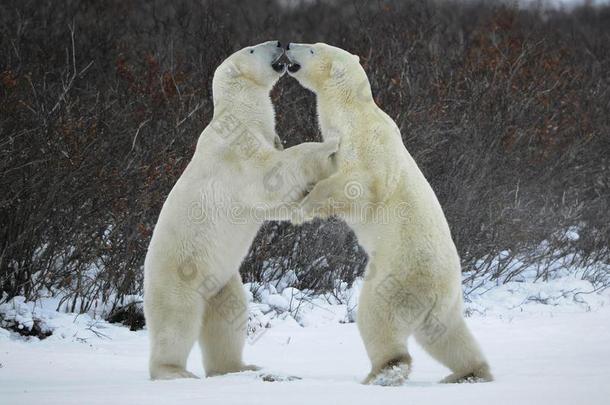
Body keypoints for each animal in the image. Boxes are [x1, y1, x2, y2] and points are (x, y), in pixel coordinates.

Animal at [145, 41, 340, 378]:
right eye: (252, 49)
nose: (281, 43)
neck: (240, 116)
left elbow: (277, 203)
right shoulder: (235, 151)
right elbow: (272, 174)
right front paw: (327, 146)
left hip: (222, 280)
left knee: (227, 318)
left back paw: (238, 367)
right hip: (179, 275)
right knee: (177, 322)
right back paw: (174, 371)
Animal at [284, 42, 490, 384]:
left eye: (312, 49)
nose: (287, 45)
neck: (353, 111)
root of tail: (438, 290)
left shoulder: (366, 144)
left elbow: (358, 185)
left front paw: (302, 208)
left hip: (398, 276)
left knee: (377, 315)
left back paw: (385, 371)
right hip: (445, 302)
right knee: (446, 335)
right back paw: (470, 372)